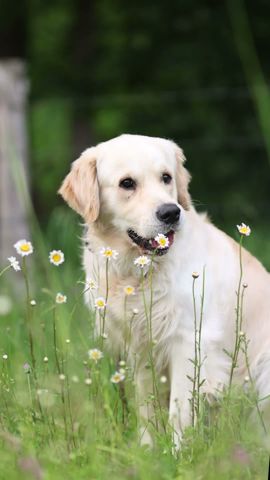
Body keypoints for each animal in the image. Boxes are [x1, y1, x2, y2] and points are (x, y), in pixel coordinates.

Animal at [59, 132, 270, 446]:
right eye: (127, 183)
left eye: (166, 177)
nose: (171, 212)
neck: (138, 271)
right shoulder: (140, 347)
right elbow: (148, 407)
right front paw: (147, 450)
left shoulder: (188, 340)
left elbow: (178, 411)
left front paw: (178, 452)